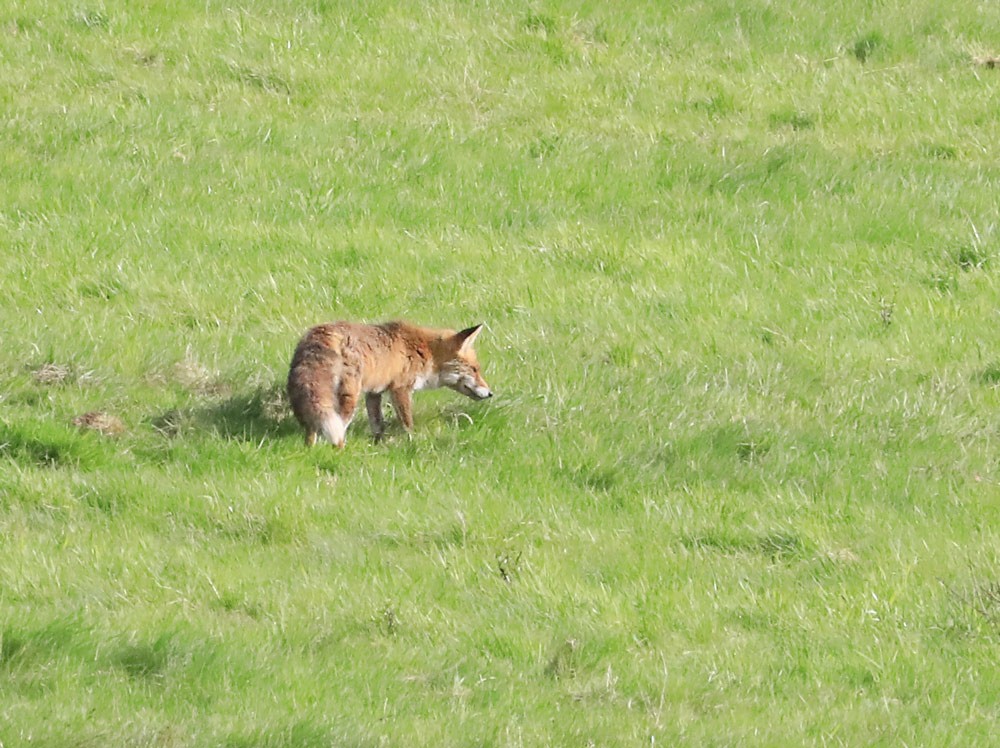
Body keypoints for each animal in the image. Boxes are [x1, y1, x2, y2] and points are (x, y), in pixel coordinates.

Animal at [287, 320, 492, 448]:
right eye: (475, 369)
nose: (490, 393)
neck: (423, 350)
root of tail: (321, 332)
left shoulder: (374, 392)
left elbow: (378, 425)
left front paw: (378, 445)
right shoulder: (400, 389)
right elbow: (407, 423)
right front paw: (413, 443)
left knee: (312, 428)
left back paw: (310, 449)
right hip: (349, 396)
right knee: (339, 428)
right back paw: (339, 451)